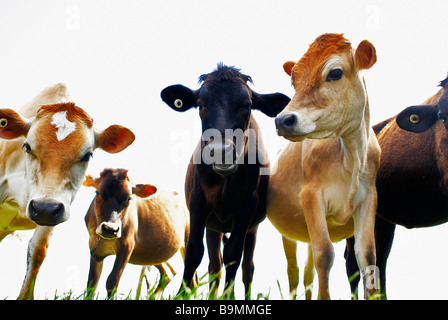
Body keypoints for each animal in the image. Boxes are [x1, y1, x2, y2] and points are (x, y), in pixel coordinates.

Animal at [83, 168, 189, 298]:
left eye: (129, 198)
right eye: (97, 193)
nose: (110, 229)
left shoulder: (127, 246)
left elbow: (112, 280)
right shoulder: (94, 248)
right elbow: (91, 284)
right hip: (152, 254)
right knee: (168, 273)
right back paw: (153, 296)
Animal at [266, 33, 382, 298]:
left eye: (335, 73)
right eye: (293, 81)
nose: (283, 120)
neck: (351, 156)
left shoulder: (369, 197)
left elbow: (367, 256)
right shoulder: (311, 196)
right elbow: (325, 255)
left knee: (308, 273)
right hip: (288, 230)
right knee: (294, 271)